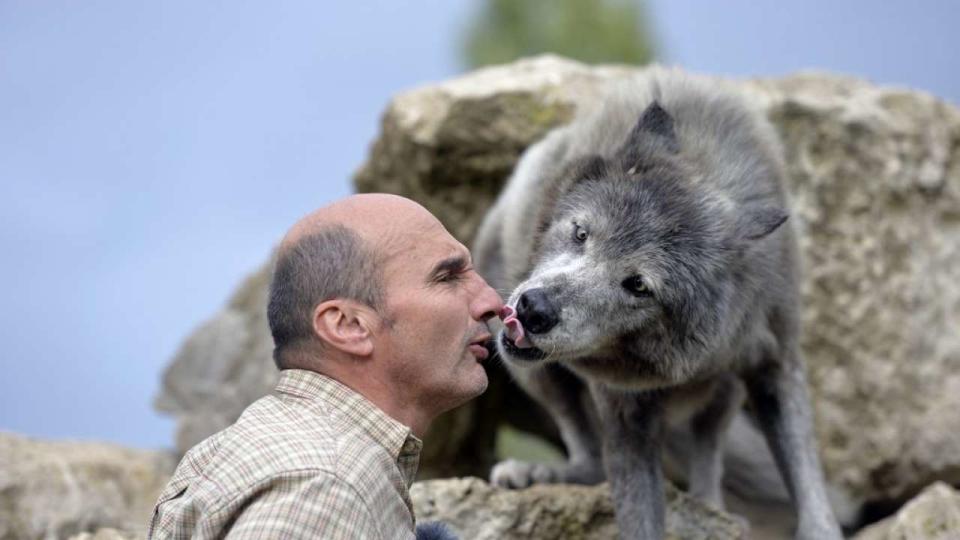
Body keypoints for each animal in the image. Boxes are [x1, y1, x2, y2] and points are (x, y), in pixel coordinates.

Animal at [472, 67, 840, 540]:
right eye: (580, 233)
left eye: (638, 286)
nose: (533, 309)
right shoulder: (626, 413)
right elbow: (639, 516)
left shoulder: (776, 365)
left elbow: (807, 480)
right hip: (531, 369)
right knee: (591, 461)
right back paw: (540, 474)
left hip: (726, 391)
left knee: (706, 448)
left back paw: (712, 508)